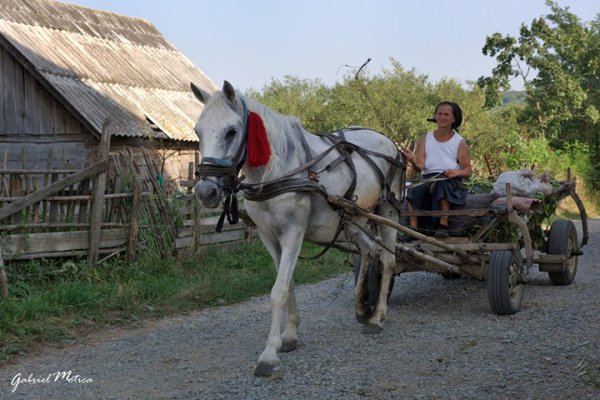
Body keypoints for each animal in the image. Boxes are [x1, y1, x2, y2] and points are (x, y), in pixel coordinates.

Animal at [191, 81, 408, 378]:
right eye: (198, 131)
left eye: (232, 131)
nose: (206, 191)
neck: (276, 171)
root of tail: (390, 143)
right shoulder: (268, 236)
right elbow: (289, 284)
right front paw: (290, 336)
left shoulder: (293, 232)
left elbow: (278, 290)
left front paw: (269, 354)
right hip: (353, 219)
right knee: (368, 250)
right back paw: (362, 305)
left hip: (388, 211)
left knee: (387, 260)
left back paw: (377, 317)